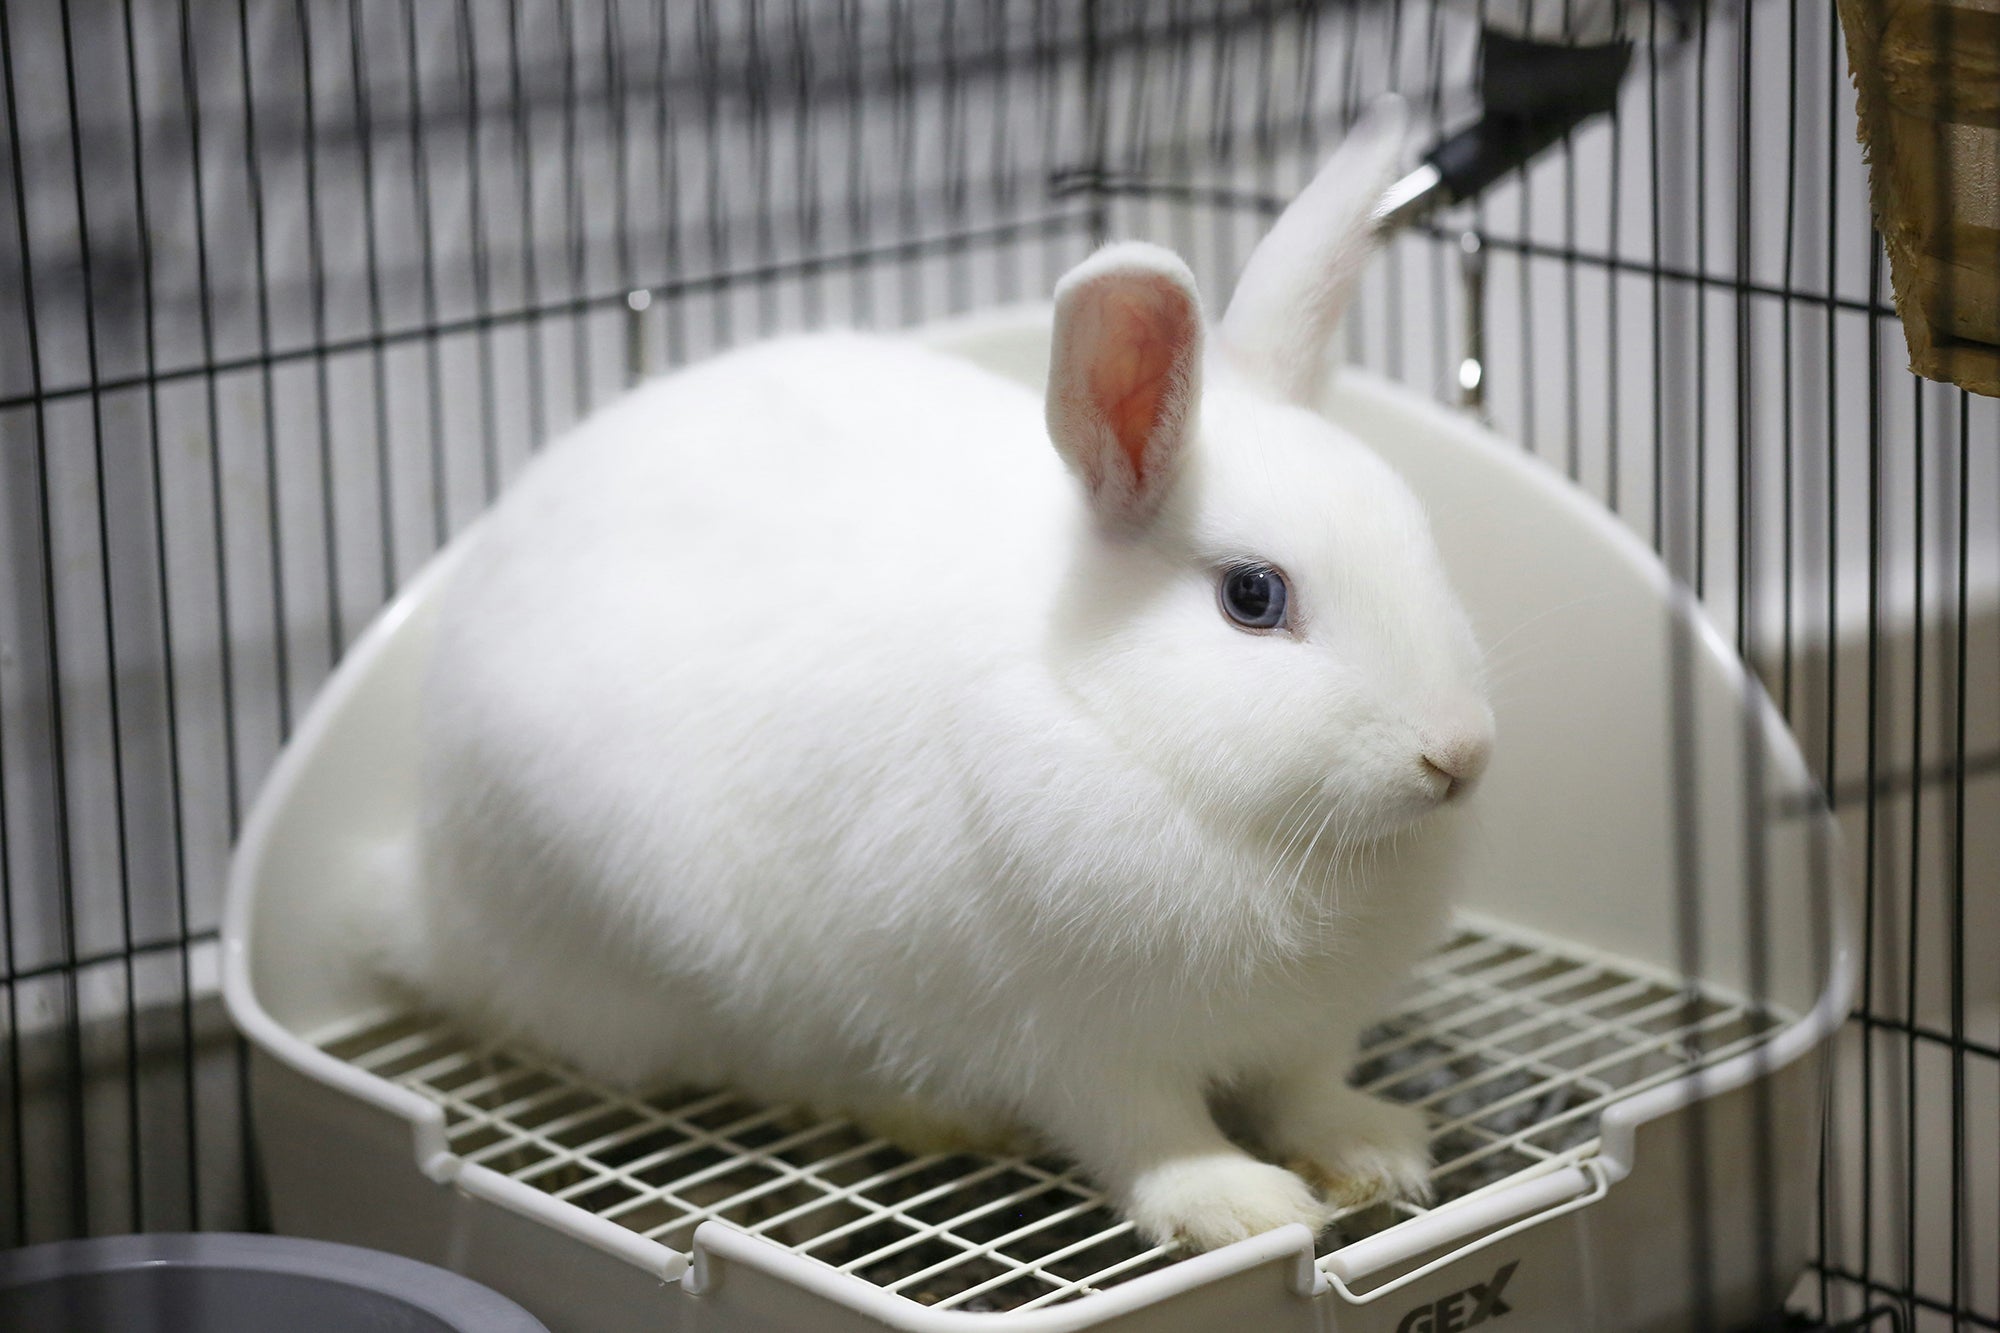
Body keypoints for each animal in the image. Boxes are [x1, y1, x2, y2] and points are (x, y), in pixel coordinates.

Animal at [400, 101, 1494, 1253]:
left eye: (1417, 534)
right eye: (1253, 595)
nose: (1458, 755)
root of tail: (426, 899)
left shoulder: (1306, 1031)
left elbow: (1304, 1092)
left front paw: (1373, 1151)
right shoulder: (1072, 1042)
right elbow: (1147, 1135)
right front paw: (1235, 1205)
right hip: (657, 951)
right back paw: (926, 1116)